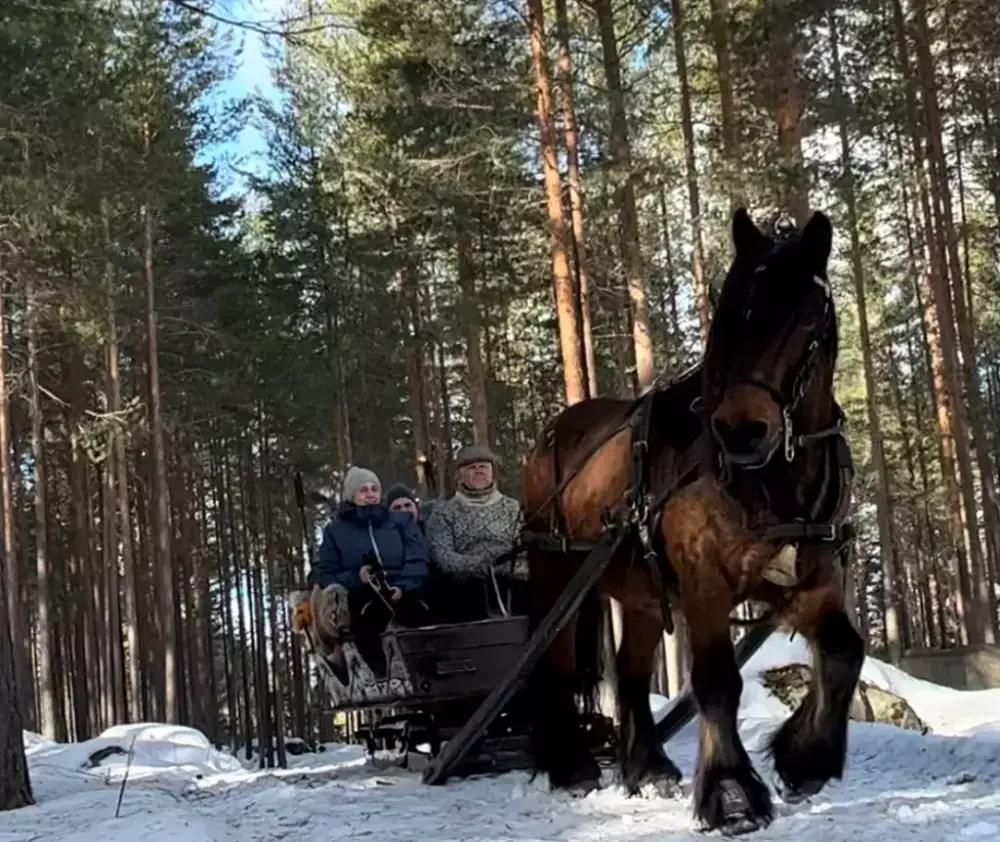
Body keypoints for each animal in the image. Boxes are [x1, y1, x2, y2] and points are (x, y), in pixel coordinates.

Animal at [524, 210, 868, 832]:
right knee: (555, 667)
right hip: (556, 575)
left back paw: (649, 767)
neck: (769, 480)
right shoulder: (705, 580)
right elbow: (716, 680)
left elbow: (843, 653)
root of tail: (553, 430)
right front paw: (731, 794)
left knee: (631, 671)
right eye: (732, 311)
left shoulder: (814, 577)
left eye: (808, 316)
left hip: (638, 592)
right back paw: (571, 766)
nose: (742, 430)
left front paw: (804, 761)